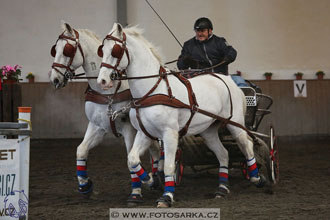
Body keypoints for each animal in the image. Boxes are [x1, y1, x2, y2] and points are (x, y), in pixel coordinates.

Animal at [49, 22, 161, 205]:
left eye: (67, 50)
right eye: (55, 49)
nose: (55, 79)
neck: (107, 91)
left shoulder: (129, 129)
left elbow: (130, 160)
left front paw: (136, 192)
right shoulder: (97, 126)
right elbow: (81, 150)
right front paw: (85, 186)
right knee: (156, 150)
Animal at [96, 23, 266, 207]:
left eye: (116, 50)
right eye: (102, 50)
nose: (102, 81)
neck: (152, 90)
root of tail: (228, 80)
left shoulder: (169, 134)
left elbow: (169, 166)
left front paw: (166, 196)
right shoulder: (145, 133)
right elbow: (133, 160)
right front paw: (151, 181)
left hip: (235, 124)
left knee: (247, 146)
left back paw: (257, 179)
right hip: (209, 131)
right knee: (223, 154)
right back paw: (221, 188)